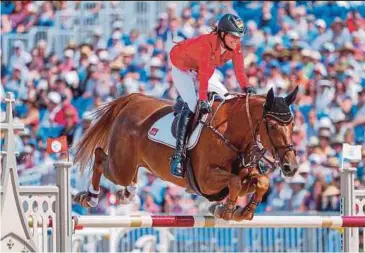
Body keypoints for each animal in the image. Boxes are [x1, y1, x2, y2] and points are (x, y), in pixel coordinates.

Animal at [74, 87, 298, 221]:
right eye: (271, 126)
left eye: (293, 124)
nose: (291, 167)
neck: (230, 133)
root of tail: (133, 99)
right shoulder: (206, 181)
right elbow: (234, 181)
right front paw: (226, 211)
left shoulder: (239, 179)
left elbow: (261, 182)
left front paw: (243, 212)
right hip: (121, 167)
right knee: (100, 157)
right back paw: (89, 197)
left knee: (126, 174)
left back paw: (129, 192)